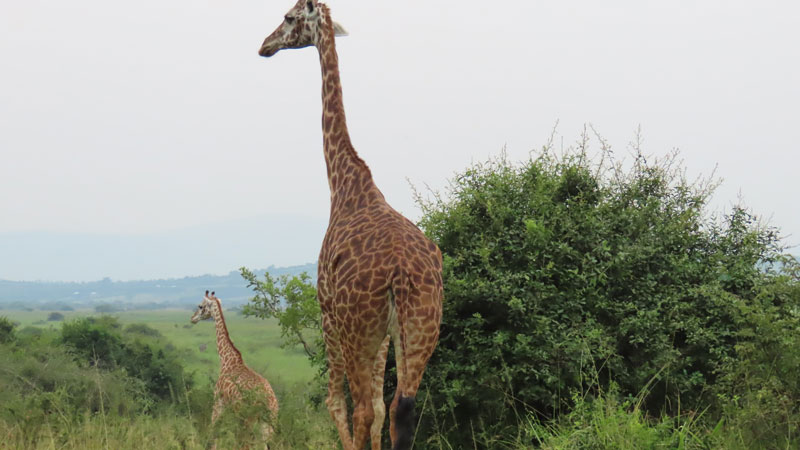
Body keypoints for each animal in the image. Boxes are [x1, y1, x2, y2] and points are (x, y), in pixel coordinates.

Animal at [192, 290, 280, 448]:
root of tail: (269, 401)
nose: (192, 318)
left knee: (246, 444)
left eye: (200, 306)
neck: (227, 360)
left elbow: (213, 433)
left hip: (249, 419)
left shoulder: (218, 402)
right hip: (269, 422)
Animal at [258, 1, 440, 448]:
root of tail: (400, 273)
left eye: (288, 17)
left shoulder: (327, 310)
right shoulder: (385, 334)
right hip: (421, 327)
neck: (344, 182)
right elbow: (379, 408)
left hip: (357, 329)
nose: (264, 46)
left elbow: (339, 404)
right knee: (400, 407)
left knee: (360, 408)